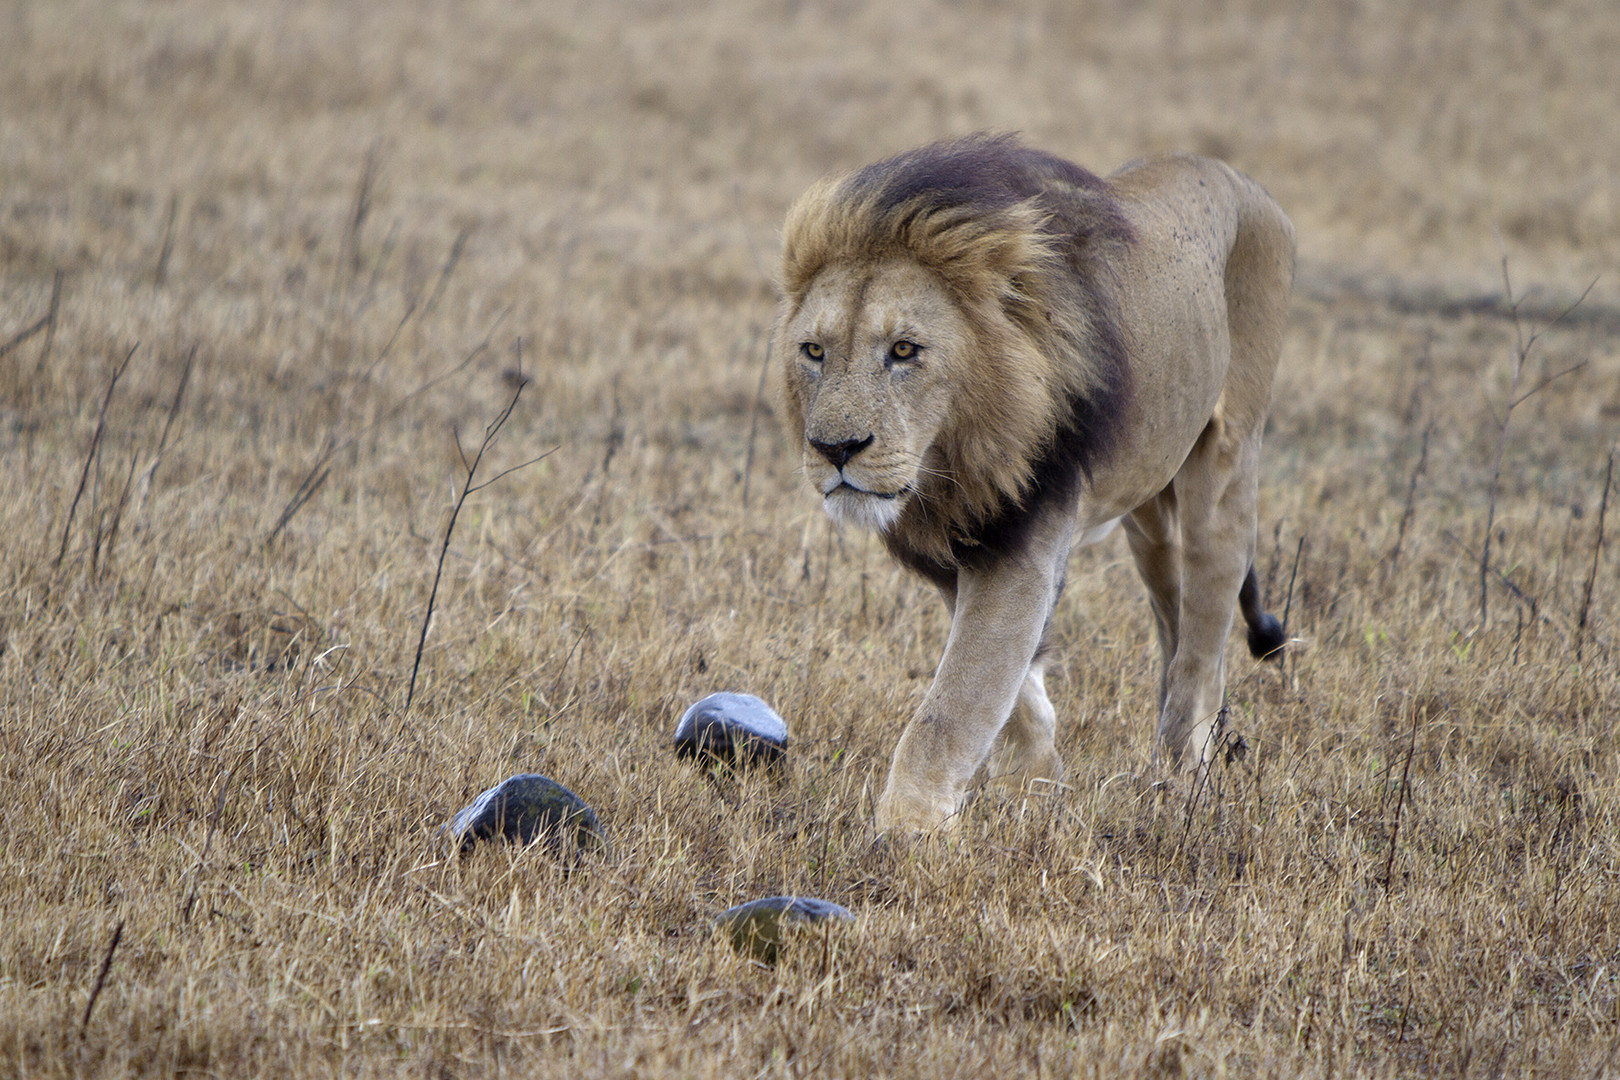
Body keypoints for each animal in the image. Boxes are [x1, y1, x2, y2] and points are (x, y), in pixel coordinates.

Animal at [771, 131, 1289, 835]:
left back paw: (1180, 777)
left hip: (1226, 466)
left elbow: (949, 709)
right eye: (814, 352)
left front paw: (902, 836)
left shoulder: (1022, 540)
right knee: (1174, 615)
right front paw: (1039, 791)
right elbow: (1015, 696)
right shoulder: (960, 548)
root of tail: (1248, 184)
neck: (952, 465)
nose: (834, 450)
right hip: (1148, 516)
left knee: (1203, 644)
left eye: (905, 350)